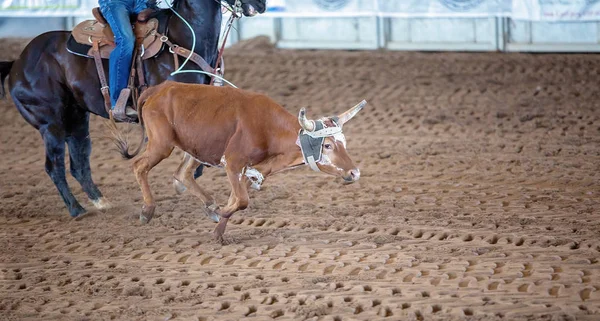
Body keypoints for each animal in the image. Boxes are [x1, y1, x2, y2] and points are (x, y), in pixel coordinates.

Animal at [0, 0, 264, 218]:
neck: (184, 38)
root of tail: (18, 62)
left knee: (79, 163)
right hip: (51, 123)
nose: (261, 5)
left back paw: (101, 202)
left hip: (77, 119)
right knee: (54, 166)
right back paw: (77, 210)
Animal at [114, 80, 364, 240]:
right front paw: (223, 214)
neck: (267, 127)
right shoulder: (233, 162)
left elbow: (238, 196)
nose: (354, 173)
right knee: (139, 166)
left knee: (182, 173)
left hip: (196, 147)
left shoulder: (252, 168)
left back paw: (210, 206)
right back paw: (147, 210)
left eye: (344, 142)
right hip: (161, 144)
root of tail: (160, 88)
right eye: (328, 145)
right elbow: (242, 200)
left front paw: (219, 229)